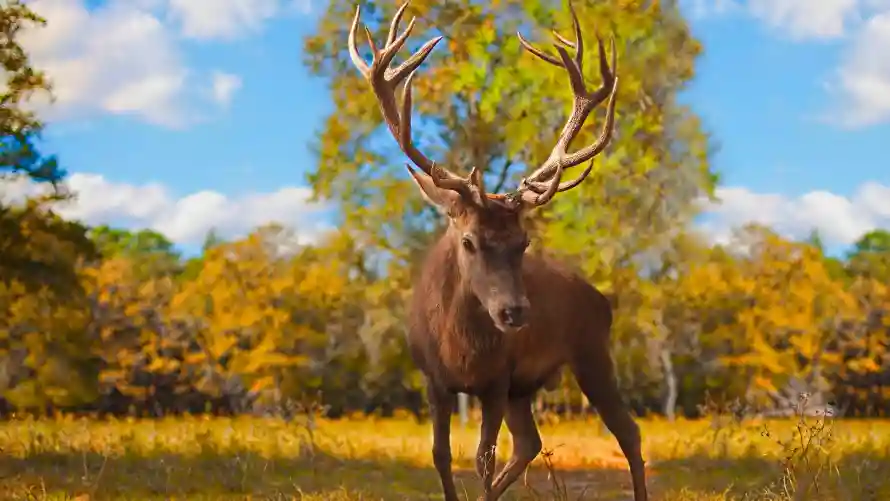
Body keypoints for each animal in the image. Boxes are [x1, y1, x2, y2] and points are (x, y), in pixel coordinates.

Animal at [346, 1, 647, 500]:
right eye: (469, 241)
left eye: (523, 243)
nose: (514, 312)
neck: (459, 349)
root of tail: (601, 298)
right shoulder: (435, 380)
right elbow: (441, 456)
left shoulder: (496, 380)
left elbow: (482, 461)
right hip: (526, 388)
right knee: (530, 443)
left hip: (591, 352)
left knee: (628, 432)